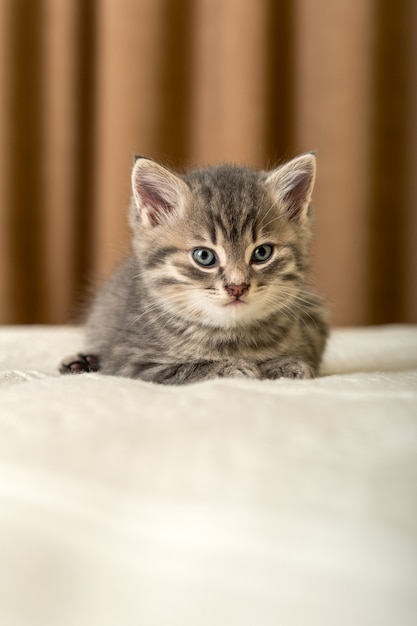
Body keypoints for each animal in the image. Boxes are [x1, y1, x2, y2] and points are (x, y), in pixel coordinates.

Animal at [61, 154, 328, 382]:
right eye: (204, 256)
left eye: (262, 253)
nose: (237, 287)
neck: (230, 335)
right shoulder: (130, 361)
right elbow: (186, 368)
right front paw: (232, 366)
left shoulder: (313, 323)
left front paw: (284, 363)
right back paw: (80, 362)